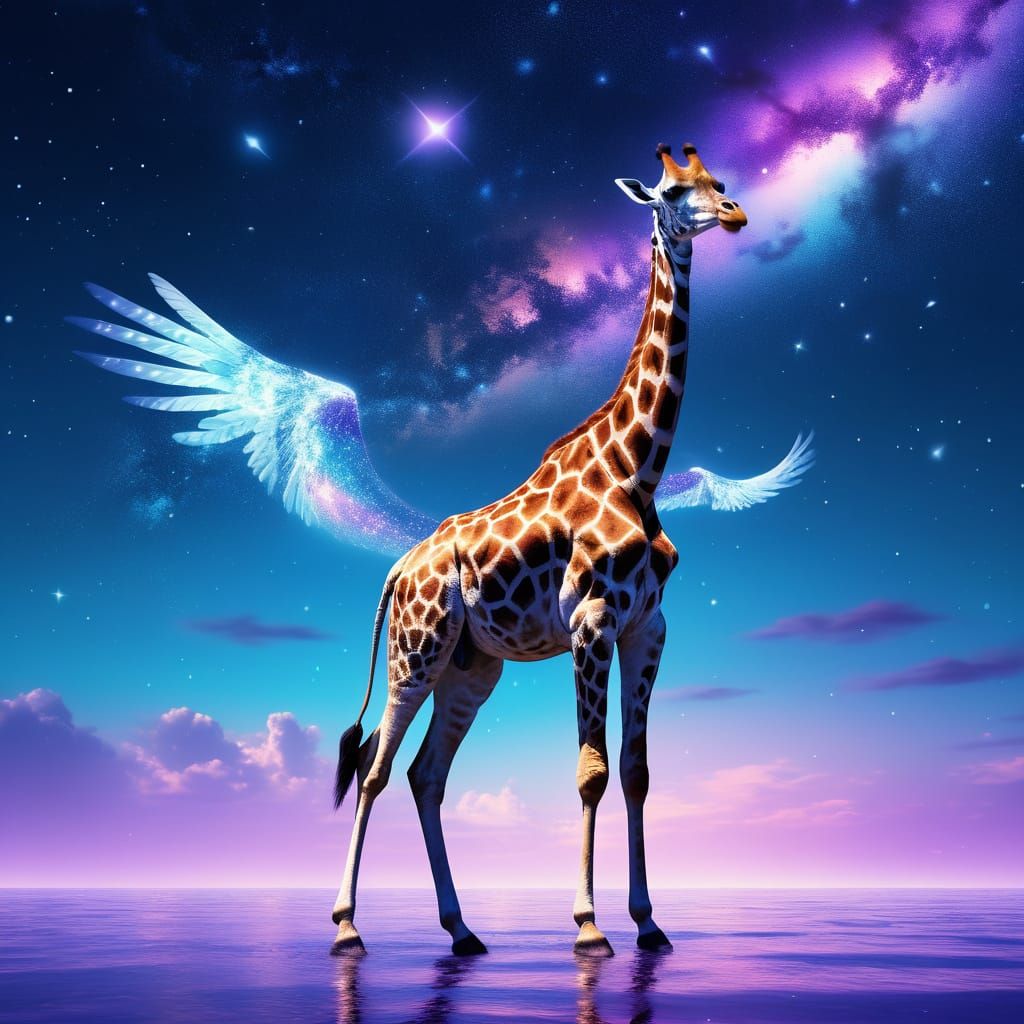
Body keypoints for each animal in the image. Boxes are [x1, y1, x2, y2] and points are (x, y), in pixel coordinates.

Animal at [330, 142, 748, 958]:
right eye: (671, 192)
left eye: (718, 182)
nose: (735, 214)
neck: (638, 465)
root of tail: (397, 569)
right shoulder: (591, 620)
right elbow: (591, 770)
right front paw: (588, 925)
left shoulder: (647, 628)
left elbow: (637, 771)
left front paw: (648, 921)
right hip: (415, 652)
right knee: (373, 767)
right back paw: (345, 925)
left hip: (471, 666)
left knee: (427, 775)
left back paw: (462, 930)